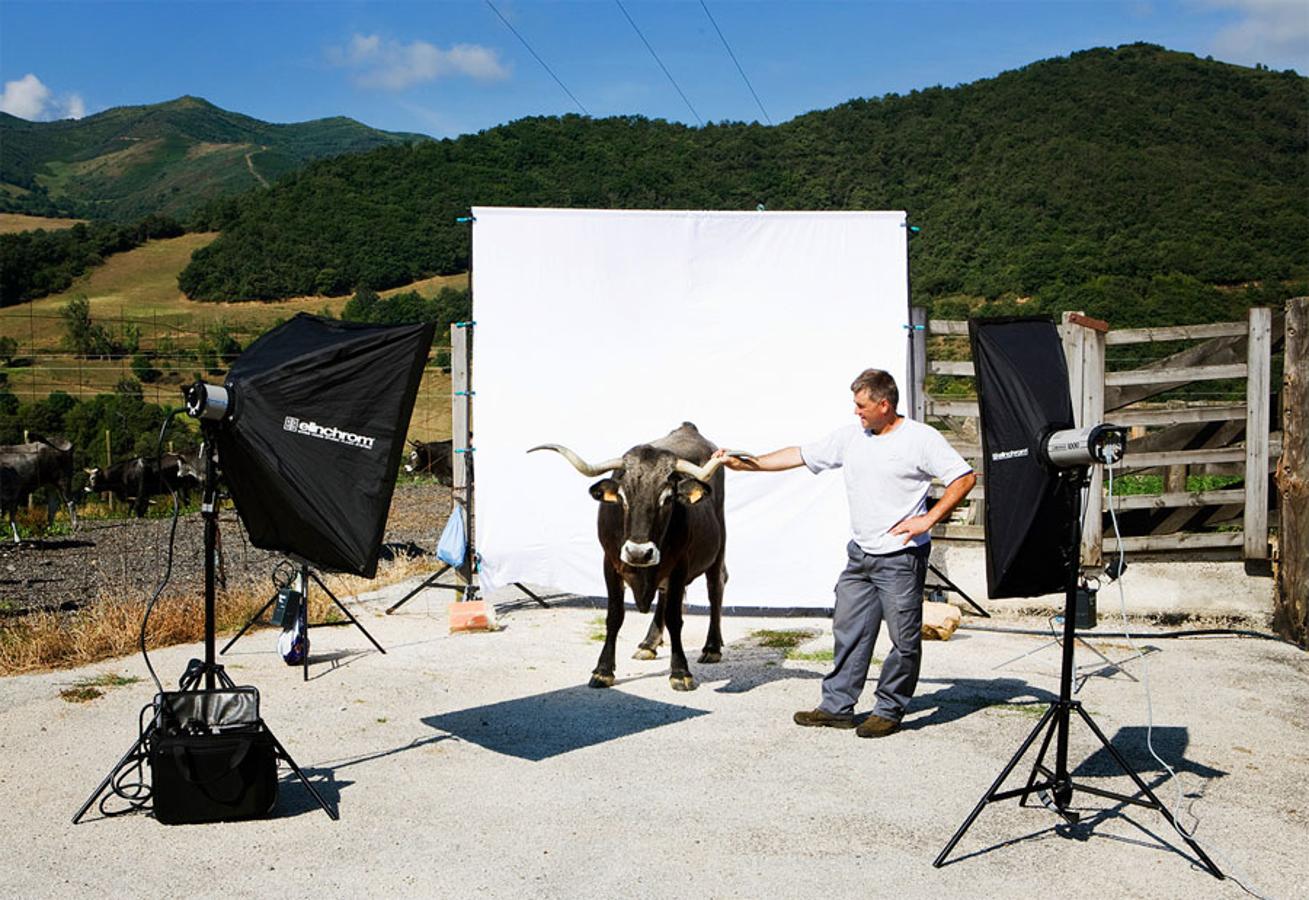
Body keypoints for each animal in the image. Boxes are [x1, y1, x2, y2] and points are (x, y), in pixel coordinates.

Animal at [528, 421, 733, 690]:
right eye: (623, 498)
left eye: (667, 498)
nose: (639, 553)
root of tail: (688, 427)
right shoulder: (610, 563)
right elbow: (615, 616)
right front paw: (603, 670)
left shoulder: (680, 565)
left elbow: (675, 618)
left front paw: (680, 672)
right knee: (664, 596)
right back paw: (649, 643)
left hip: (719, 546)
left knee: (715, 587)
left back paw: (712, 647)